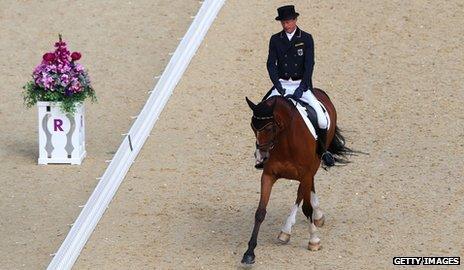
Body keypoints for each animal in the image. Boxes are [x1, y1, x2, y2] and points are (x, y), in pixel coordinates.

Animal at [241, 87, 350, 264]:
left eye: (269, 128)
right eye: (252, 126)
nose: (261, 156)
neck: (285, 141)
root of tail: (320, 92)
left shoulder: (305, 174)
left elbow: (305, 207)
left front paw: (314, 240)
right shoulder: (268, 175)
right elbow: (260, 212)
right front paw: (249, 253)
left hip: (312, 166)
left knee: (302, 194)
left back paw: (289, 229)